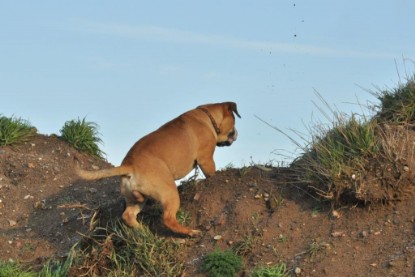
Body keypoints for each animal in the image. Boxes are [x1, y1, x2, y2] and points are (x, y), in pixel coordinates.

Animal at [75, 101, 240, 235]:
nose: (236, 133)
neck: (207, 116)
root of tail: (130, 165)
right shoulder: (206, 160)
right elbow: (211, 172)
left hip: (136, 199)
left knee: (128, 215)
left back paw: (143, 231)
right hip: (169, 192)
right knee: (167, 218)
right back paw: (190, 232)